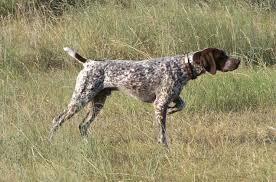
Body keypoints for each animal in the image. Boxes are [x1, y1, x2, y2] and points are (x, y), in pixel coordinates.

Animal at [50, 47, 240, 146]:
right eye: (222, 56)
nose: (238, 61)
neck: (183, 66)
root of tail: (89, 62)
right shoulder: (159, 104)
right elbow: (162, 134)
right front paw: (165, 149)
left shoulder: (170, 97)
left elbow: (181, 104)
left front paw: (173, 110)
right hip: (80, 99)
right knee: (57, 120)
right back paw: (50, 140)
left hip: (97, 102)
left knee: (83, 125)